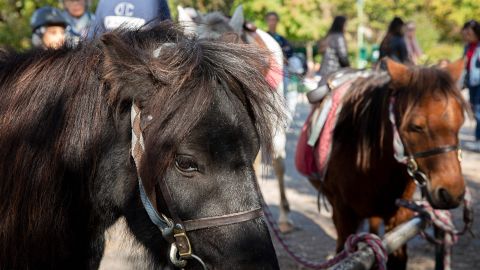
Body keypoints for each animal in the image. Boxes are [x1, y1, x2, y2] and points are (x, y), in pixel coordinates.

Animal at [304, 58, 464, 268]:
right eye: (416, 126)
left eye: (460, 122)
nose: (451, 193)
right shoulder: (343, 213)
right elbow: (343, 250)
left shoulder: (399, 218)